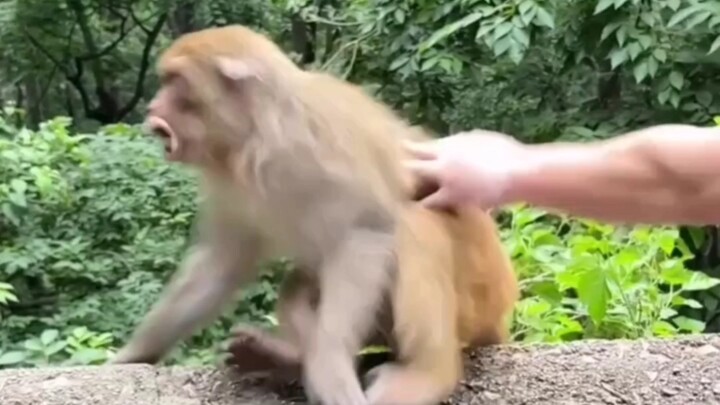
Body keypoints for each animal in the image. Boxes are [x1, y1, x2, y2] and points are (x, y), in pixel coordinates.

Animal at [108, 24, 518, 405]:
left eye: (175, 82)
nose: (152, 108)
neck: (253, 139)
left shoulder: (319, 145)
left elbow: (366, 227)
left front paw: (330, 362)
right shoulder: (227, 184)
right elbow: (220, 265)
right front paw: (132, 356)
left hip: (477, 301)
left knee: (415, 219)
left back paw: (428, 371)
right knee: (298, 284)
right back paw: (285, 358)